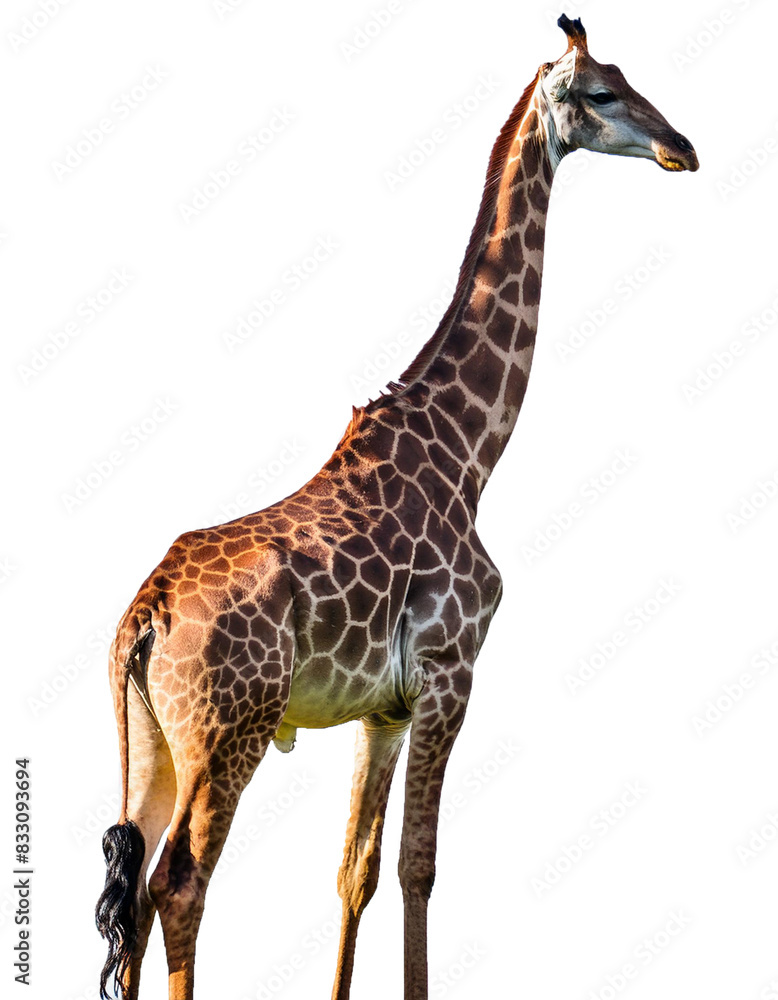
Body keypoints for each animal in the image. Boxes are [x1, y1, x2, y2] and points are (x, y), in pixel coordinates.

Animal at [96, 15, 697, 1000]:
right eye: (601, 93)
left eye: (628, 74)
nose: (681, 146)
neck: (468, 451)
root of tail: (144, 616)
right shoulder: (454, 671)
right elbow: (420, 864)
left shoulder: (383, 705)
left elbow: (358, 869)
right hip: (230, 731)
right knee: (179, 881)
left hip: (150, 737)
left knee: (132, 892)